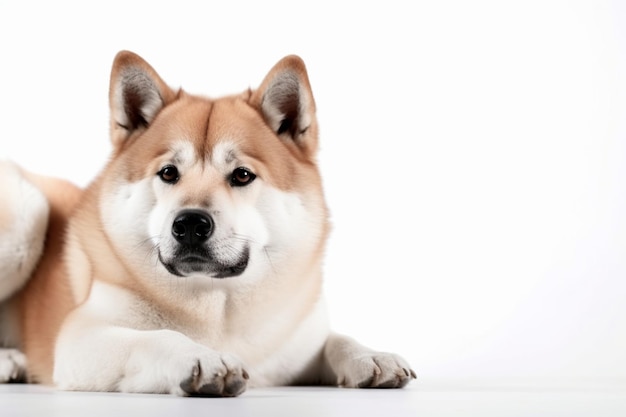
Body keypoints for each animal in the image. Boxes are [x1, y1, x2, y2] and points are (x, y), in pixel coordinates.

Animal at [0, 50, 414, 394]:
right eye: (169, 172)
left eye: (242, 175)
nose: (189, 224)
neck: (218, 305)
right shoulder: (81, 339)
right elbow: (155, 337)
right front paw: (201, 357)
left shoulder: (298, 342)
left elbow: (335, 340)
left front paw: (370, 356)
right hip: (27, 212)